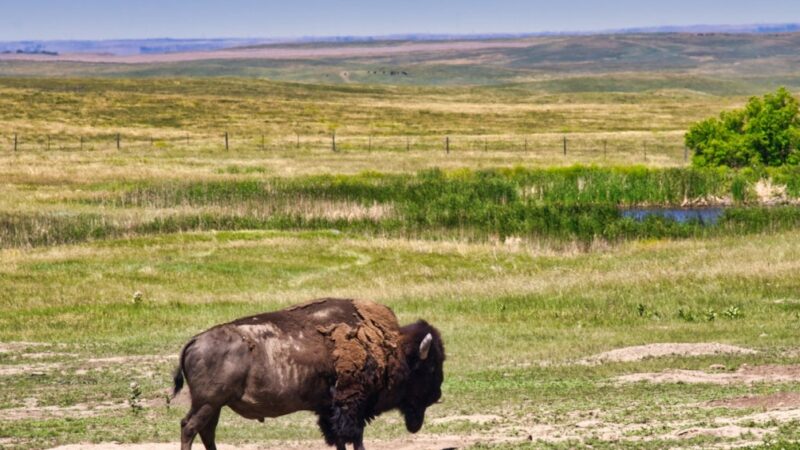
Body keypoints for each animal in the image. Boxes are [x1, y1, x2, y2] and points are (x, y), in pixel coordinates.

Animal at [172, 298, 444, 450]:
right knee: (189, 427)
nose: (437, 394)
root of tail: (195, 340)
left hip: (214, 405)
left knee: (206, 431)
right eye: (430, 367)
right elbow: (354, 438)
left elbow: (339, 439)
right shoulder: (351, 407)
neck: (387, 346)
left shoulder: (329, 410)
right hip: (208, 403)